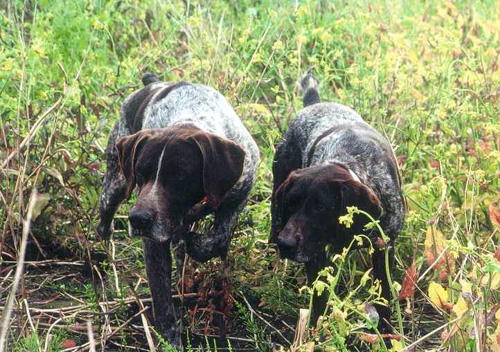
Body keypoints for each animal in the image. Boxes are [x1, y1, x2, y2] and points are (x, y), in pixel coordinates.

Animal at [98, 74, 262, 346]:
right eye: (140, 172)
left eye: (180, 176)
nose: (138, 219)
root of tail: (151, 82)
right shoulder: (154, 241)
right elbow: (161, 294)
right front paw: (169, 339)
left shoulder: (240, 190)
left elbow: (218, 238)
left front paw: (197, 244)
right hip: (115, 184)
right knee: (104, 221)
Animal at [270, 73, 406, 332]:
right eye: (291, 203)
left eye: (320, 207)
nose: (286, 244)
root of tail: (314, 103)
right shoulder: (314, 255)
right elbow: (320, 301)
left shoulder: (384, 247)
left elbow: (384, 294)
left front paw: (386, 331)